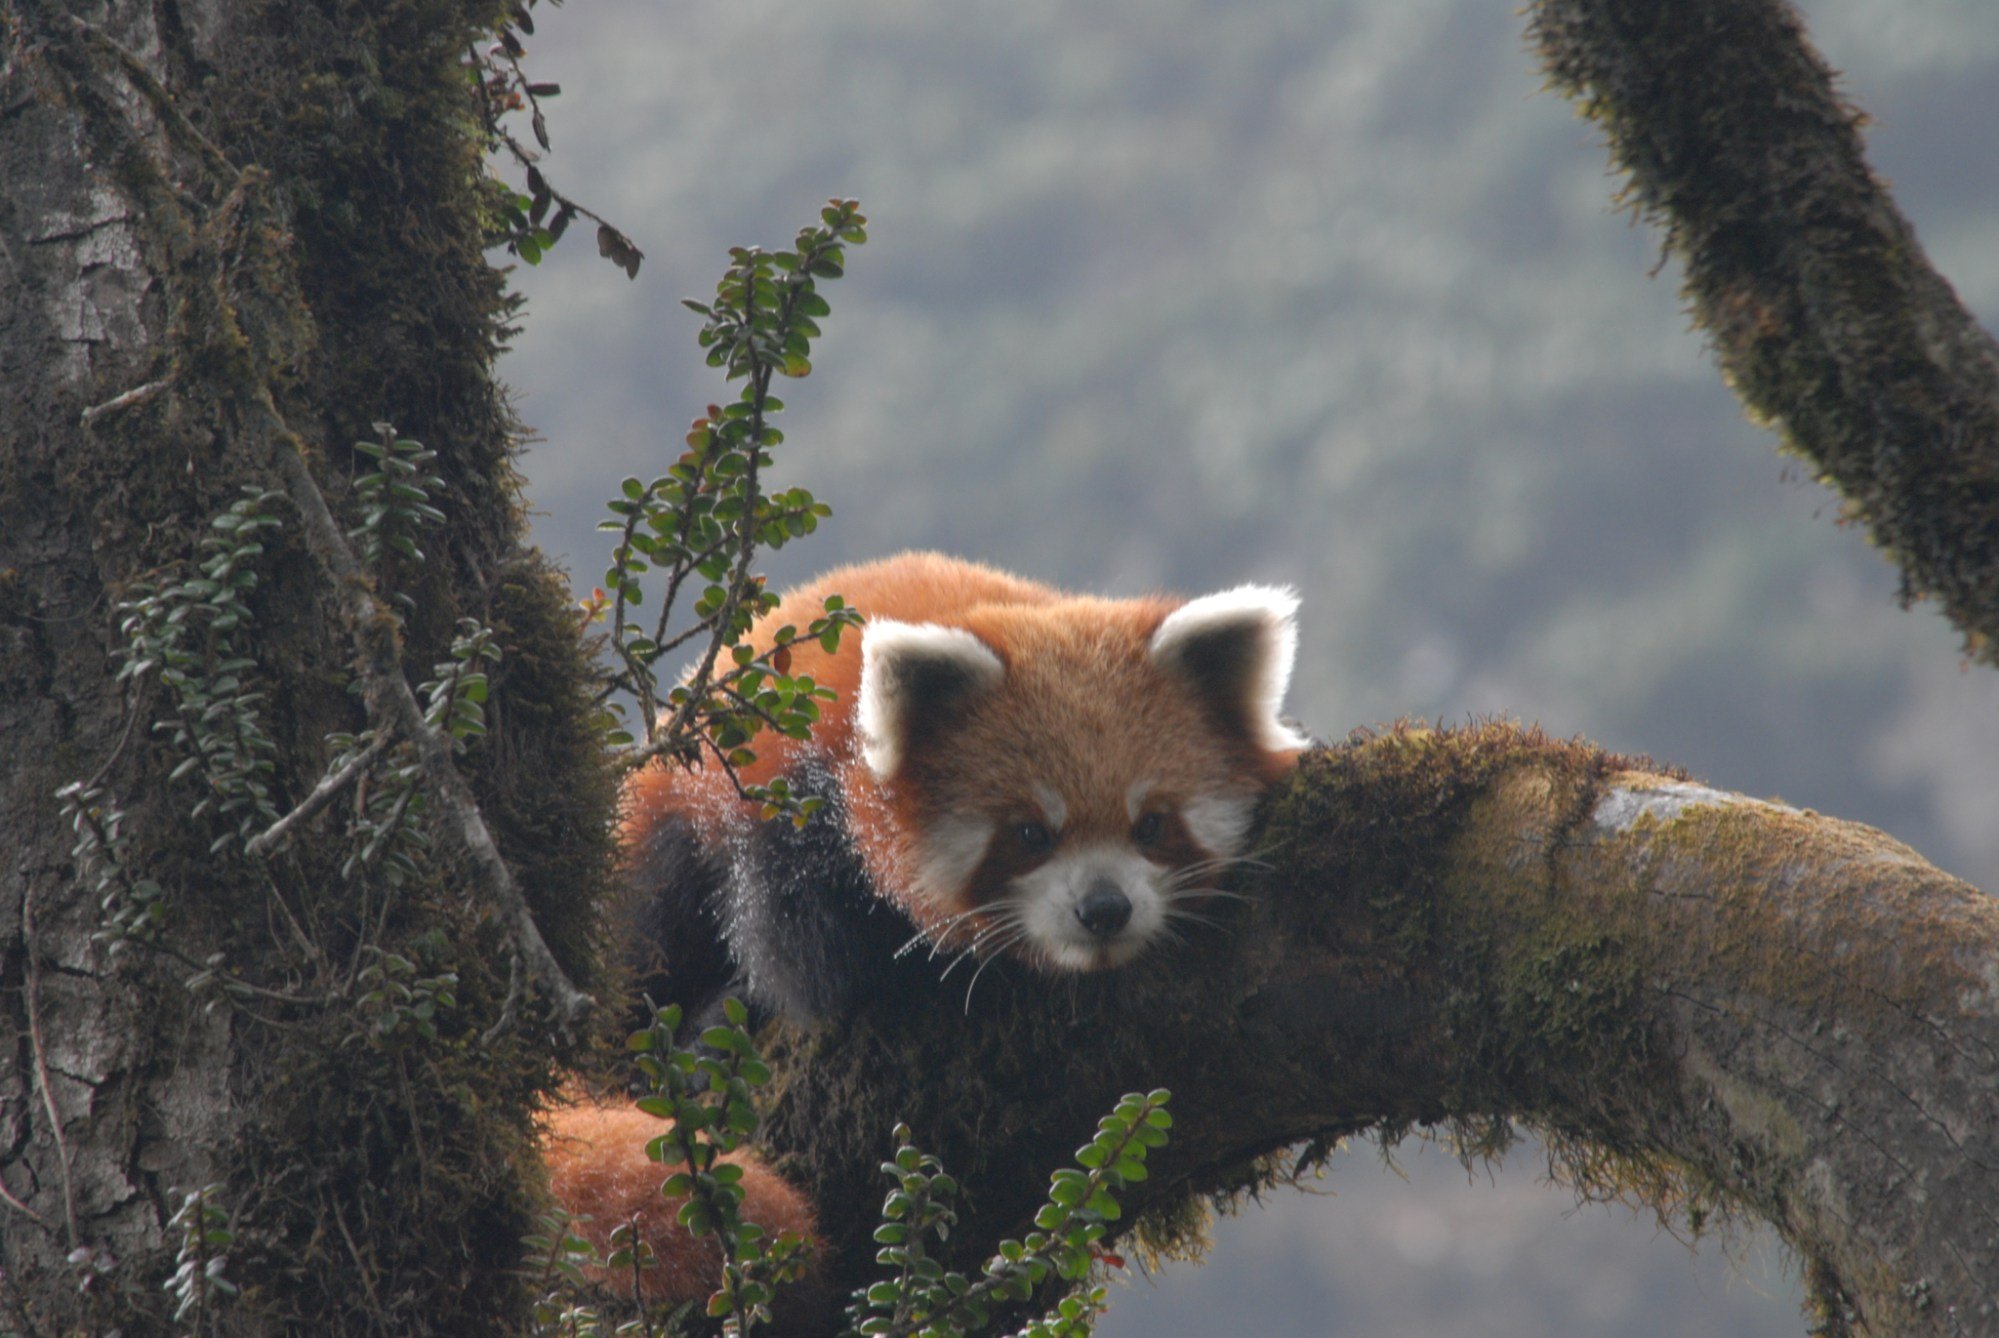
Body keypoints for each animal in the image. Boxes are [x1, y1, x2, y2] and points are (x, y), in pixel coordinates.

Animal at [547, 552, 1303, 1312]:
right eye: (1030, 834)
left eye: (1150, 824)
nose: (1104, 909)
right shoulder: (783, 807)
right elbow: (800, 962)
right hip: (659, 842)